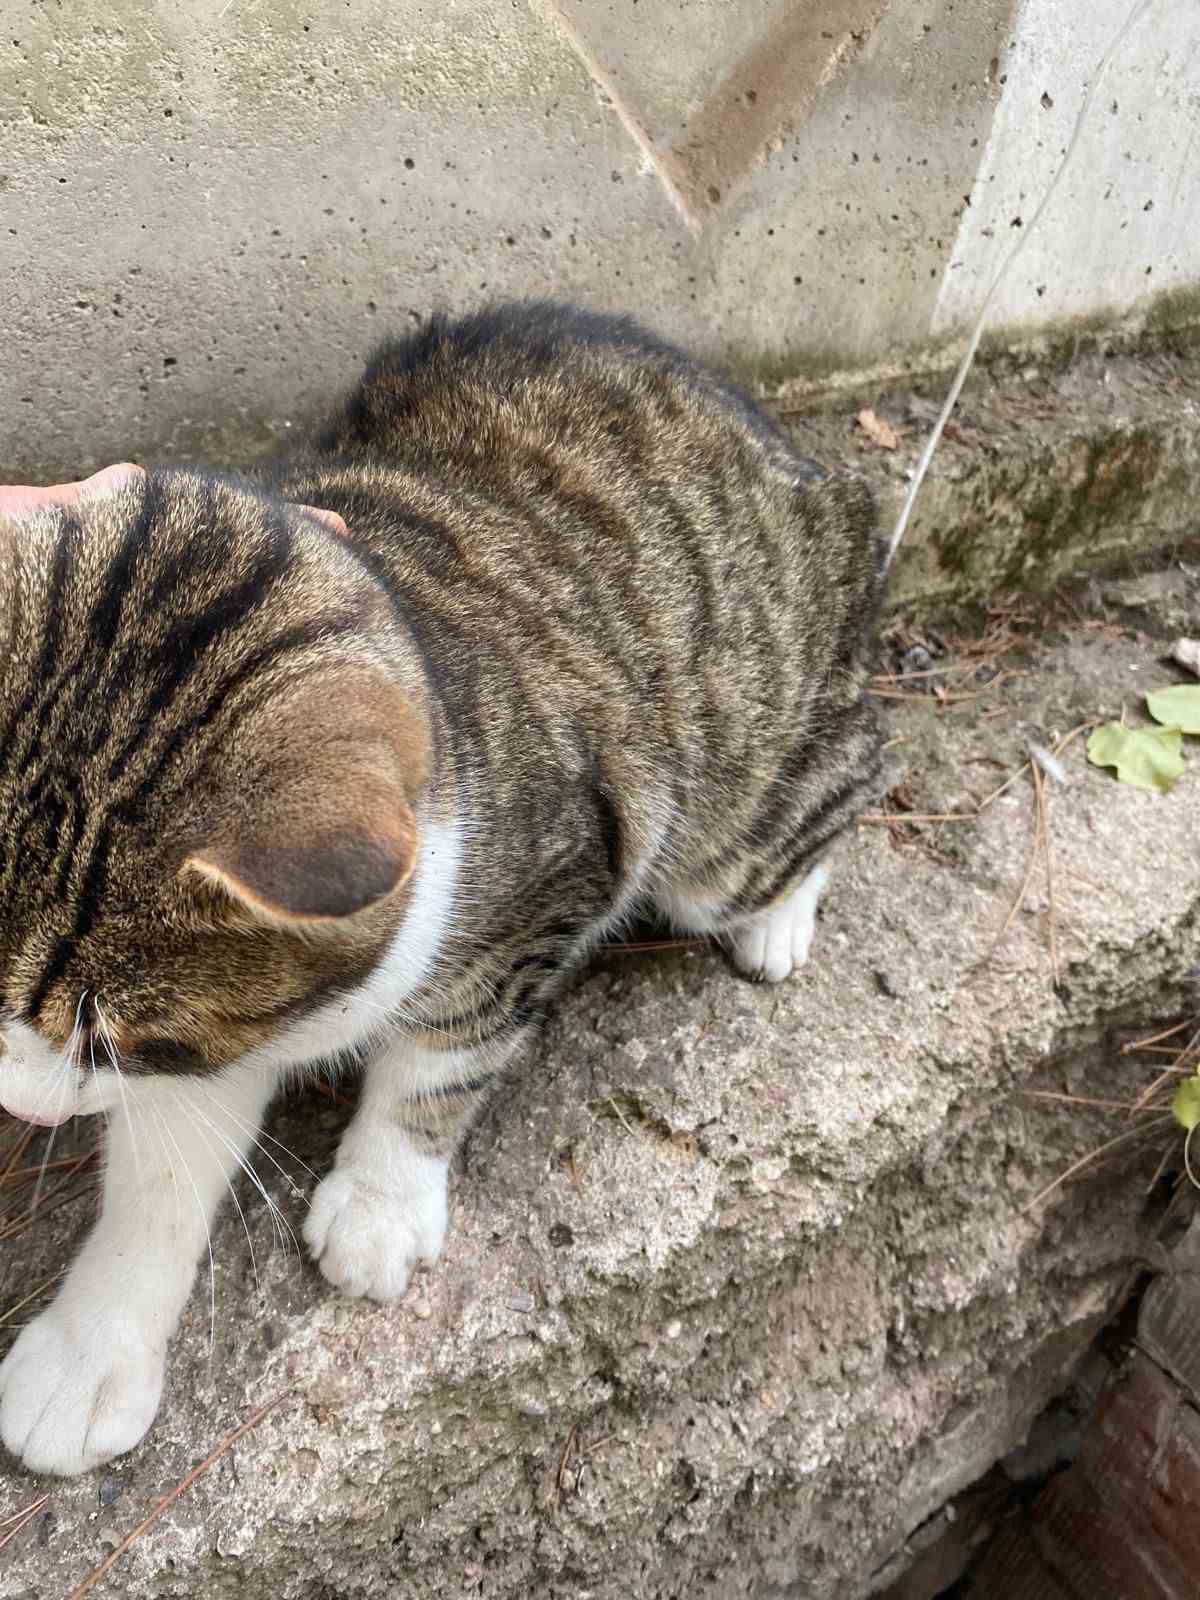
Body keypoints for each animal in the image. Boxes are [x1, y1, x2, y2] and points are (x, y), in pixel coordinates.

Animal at [0, 302, 883, 1472]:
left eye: (110, 1040)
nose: (13, 1102)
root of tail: (797, 457)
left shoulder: (553, 879)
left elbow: (446, 1055)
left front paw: (381, 1204)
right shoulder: (233, 1029)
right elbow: (164, 1174)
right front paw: (92, 1351)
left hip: (733, 803)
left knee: (848, 775)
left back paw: (781, 914)